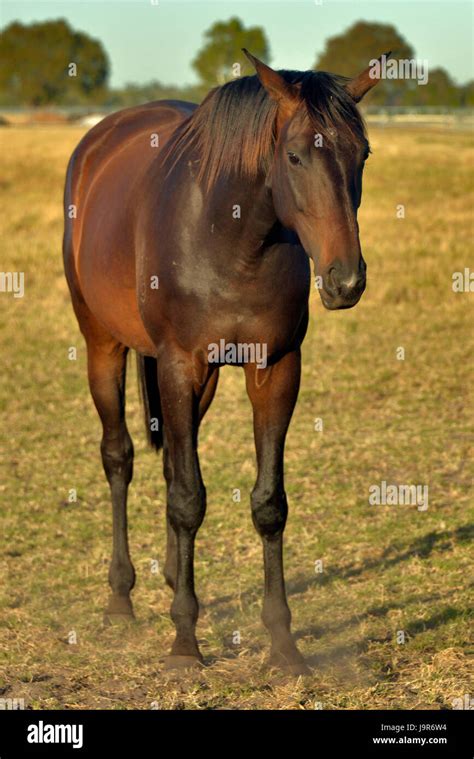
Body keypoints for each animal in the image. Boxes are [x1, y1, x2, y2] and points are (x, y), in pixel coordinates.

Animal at [64, 50, 386, 672]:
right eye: (294, 155)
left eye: (362, 154)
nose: (346, 280)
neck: (233, 236)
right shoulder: (179, 363)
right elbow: (189, 500)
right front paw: (185, 645)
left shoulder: (276, 367)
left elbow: (267, 504)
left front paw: (283, 646)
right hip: (102, 344)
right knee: (119, 458)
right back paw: (121, 598)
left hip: (204, 379)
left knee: (170, 464)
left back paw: (171, 577)